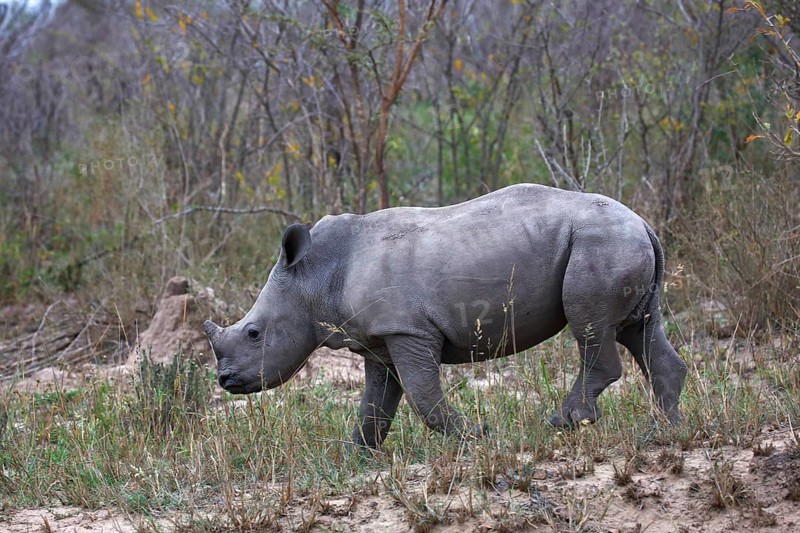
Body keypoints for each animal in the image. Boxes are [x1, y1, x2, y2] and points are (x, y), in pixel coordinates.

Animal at [203, 183, 687, 449]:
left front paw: (478, 435)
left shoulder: (408, 329)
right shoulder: (380, 340)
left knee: (593, 328)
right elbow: (375, 405)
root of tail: (643, 223)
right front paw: (355, 456)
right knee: (637, 329)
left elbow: (421, 394)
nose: (225, 381)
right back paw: (664, 430)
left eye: (253, 333)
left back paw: (565, 422)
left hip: (600, 243)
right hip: (615, 242)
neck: (315, 275)